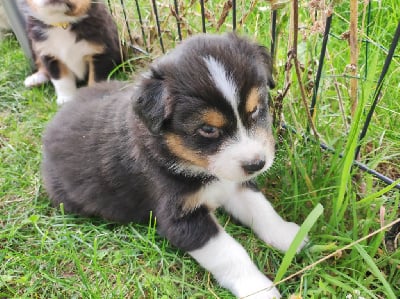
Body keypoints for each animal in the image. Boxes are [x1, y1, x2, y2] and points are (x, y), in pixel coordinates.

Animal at [41, 32, 306, 299]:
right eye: (208, 129)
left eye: (256, 110)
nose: (257, 164)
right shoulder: (180, 219)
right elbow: (230, 254)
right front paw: (259, 289)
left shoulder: (234, 185)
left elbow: (262, 209)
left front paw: (288, 236)